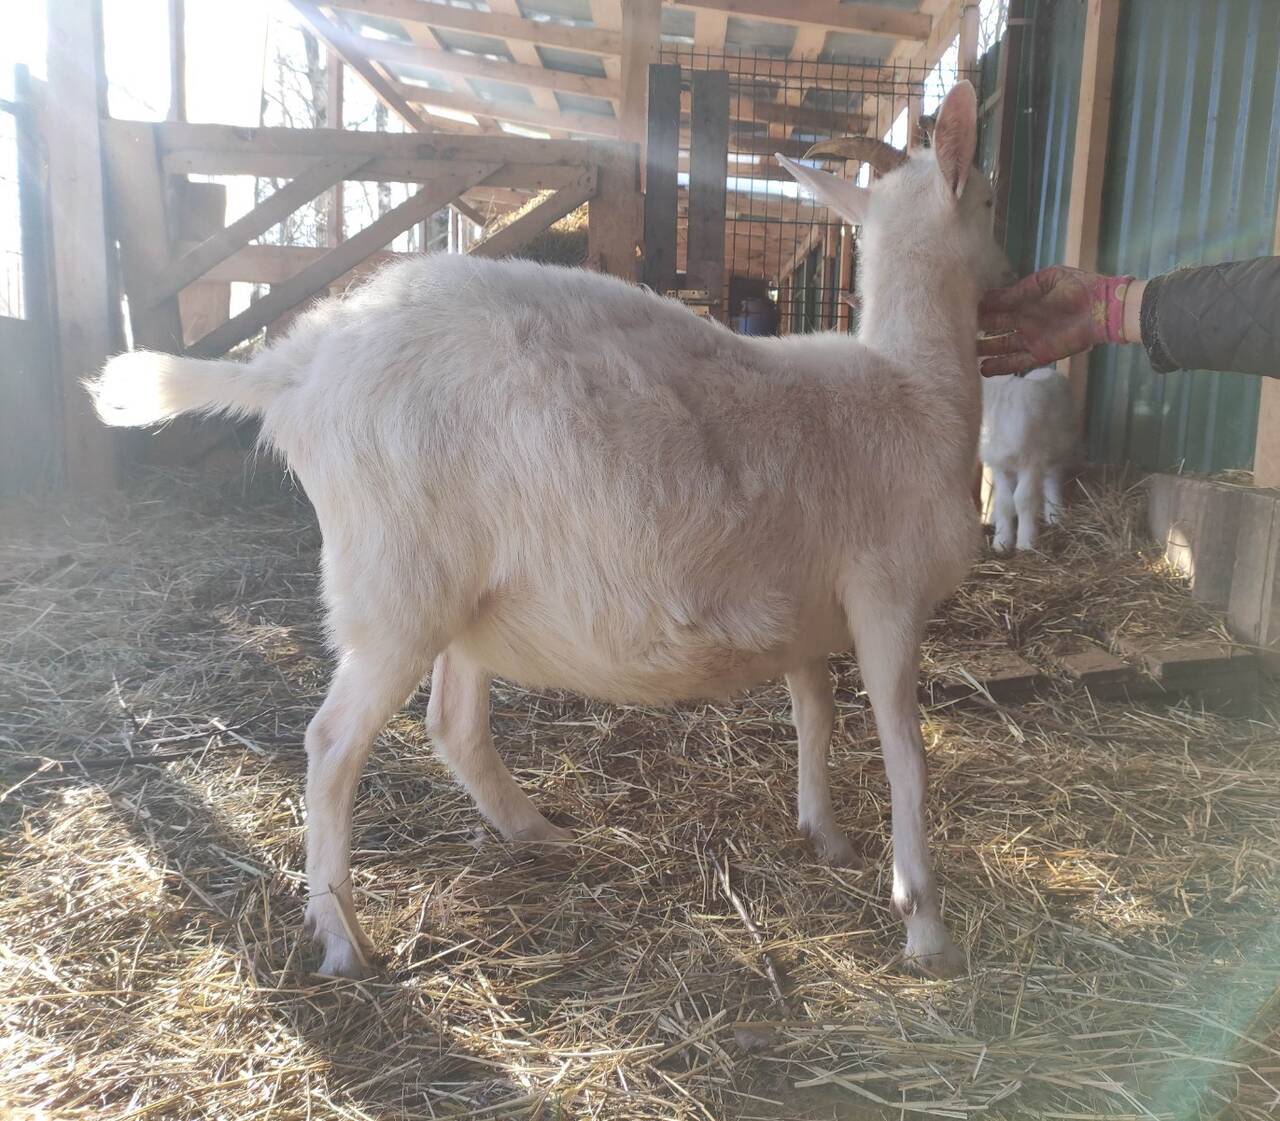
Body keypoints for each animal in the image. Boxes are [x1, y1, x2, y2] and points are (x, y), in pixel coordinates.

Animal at [89, 81, 1011, 980]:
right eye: (991, 195)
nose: (1011, 267)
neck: (913, 391)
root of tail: (296, 366)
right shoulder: (887, 595)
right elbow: (906, 752)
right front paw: (923, 919)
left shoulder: (812, 606)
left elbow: (813, 712)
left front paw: (824, 831)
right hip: (394, 581)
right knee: (331, 742)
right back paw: (342, 935)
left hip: (464, 590)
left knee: (452, 723)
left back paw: (536, 831)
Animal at [981, 366, 1077, 552]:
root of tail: (1047, 370)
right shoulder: (999, 464)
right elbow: (1004, 501)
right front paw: (1001, 542)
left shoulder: (1031, 460)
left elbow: (1023, 499)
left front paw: (1026, 542)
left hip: (1058, 445)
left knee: (1052, 478)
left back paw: (1054, 515)